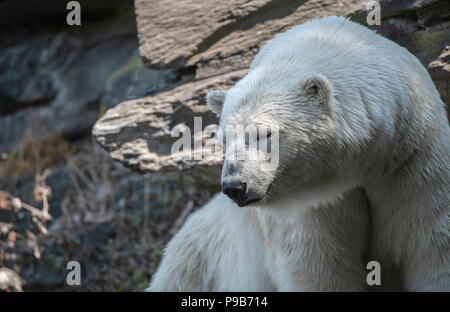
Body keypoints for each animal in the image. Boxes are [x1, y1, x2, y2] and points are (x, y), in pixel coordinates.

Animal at [149, 15, 450, 292]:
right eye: (224, 138)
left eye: (263, 134)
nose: (235, 186)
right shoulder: (309, 208)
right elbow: (318, 268)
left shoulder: (412, 161)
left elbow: (432, 245)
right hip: (198, 261)